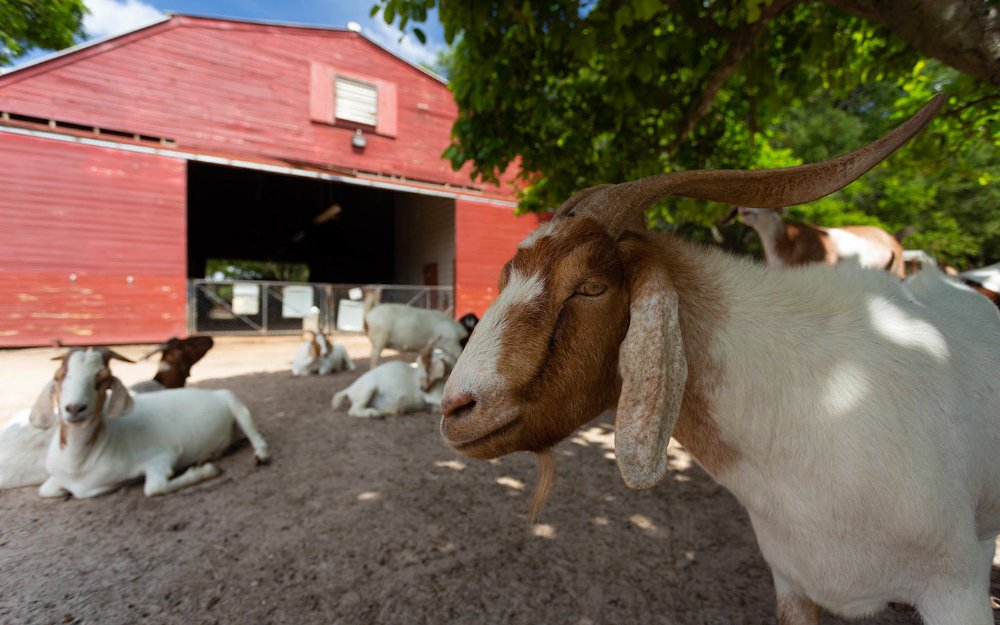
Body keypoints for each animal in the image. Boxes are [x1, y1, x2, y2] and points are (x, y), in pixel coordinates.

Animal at [29, 346, 270, 498]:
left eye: (103, 379)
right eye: (59, 377)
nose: (75, 409)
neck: (78, 464)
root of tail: (212, 393)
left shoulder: (161, 456)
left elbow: (155, 488)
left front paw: (207, 470)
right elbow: (44, 490)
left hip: (235, 403)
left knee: (255, 435)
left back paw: (258, 455)